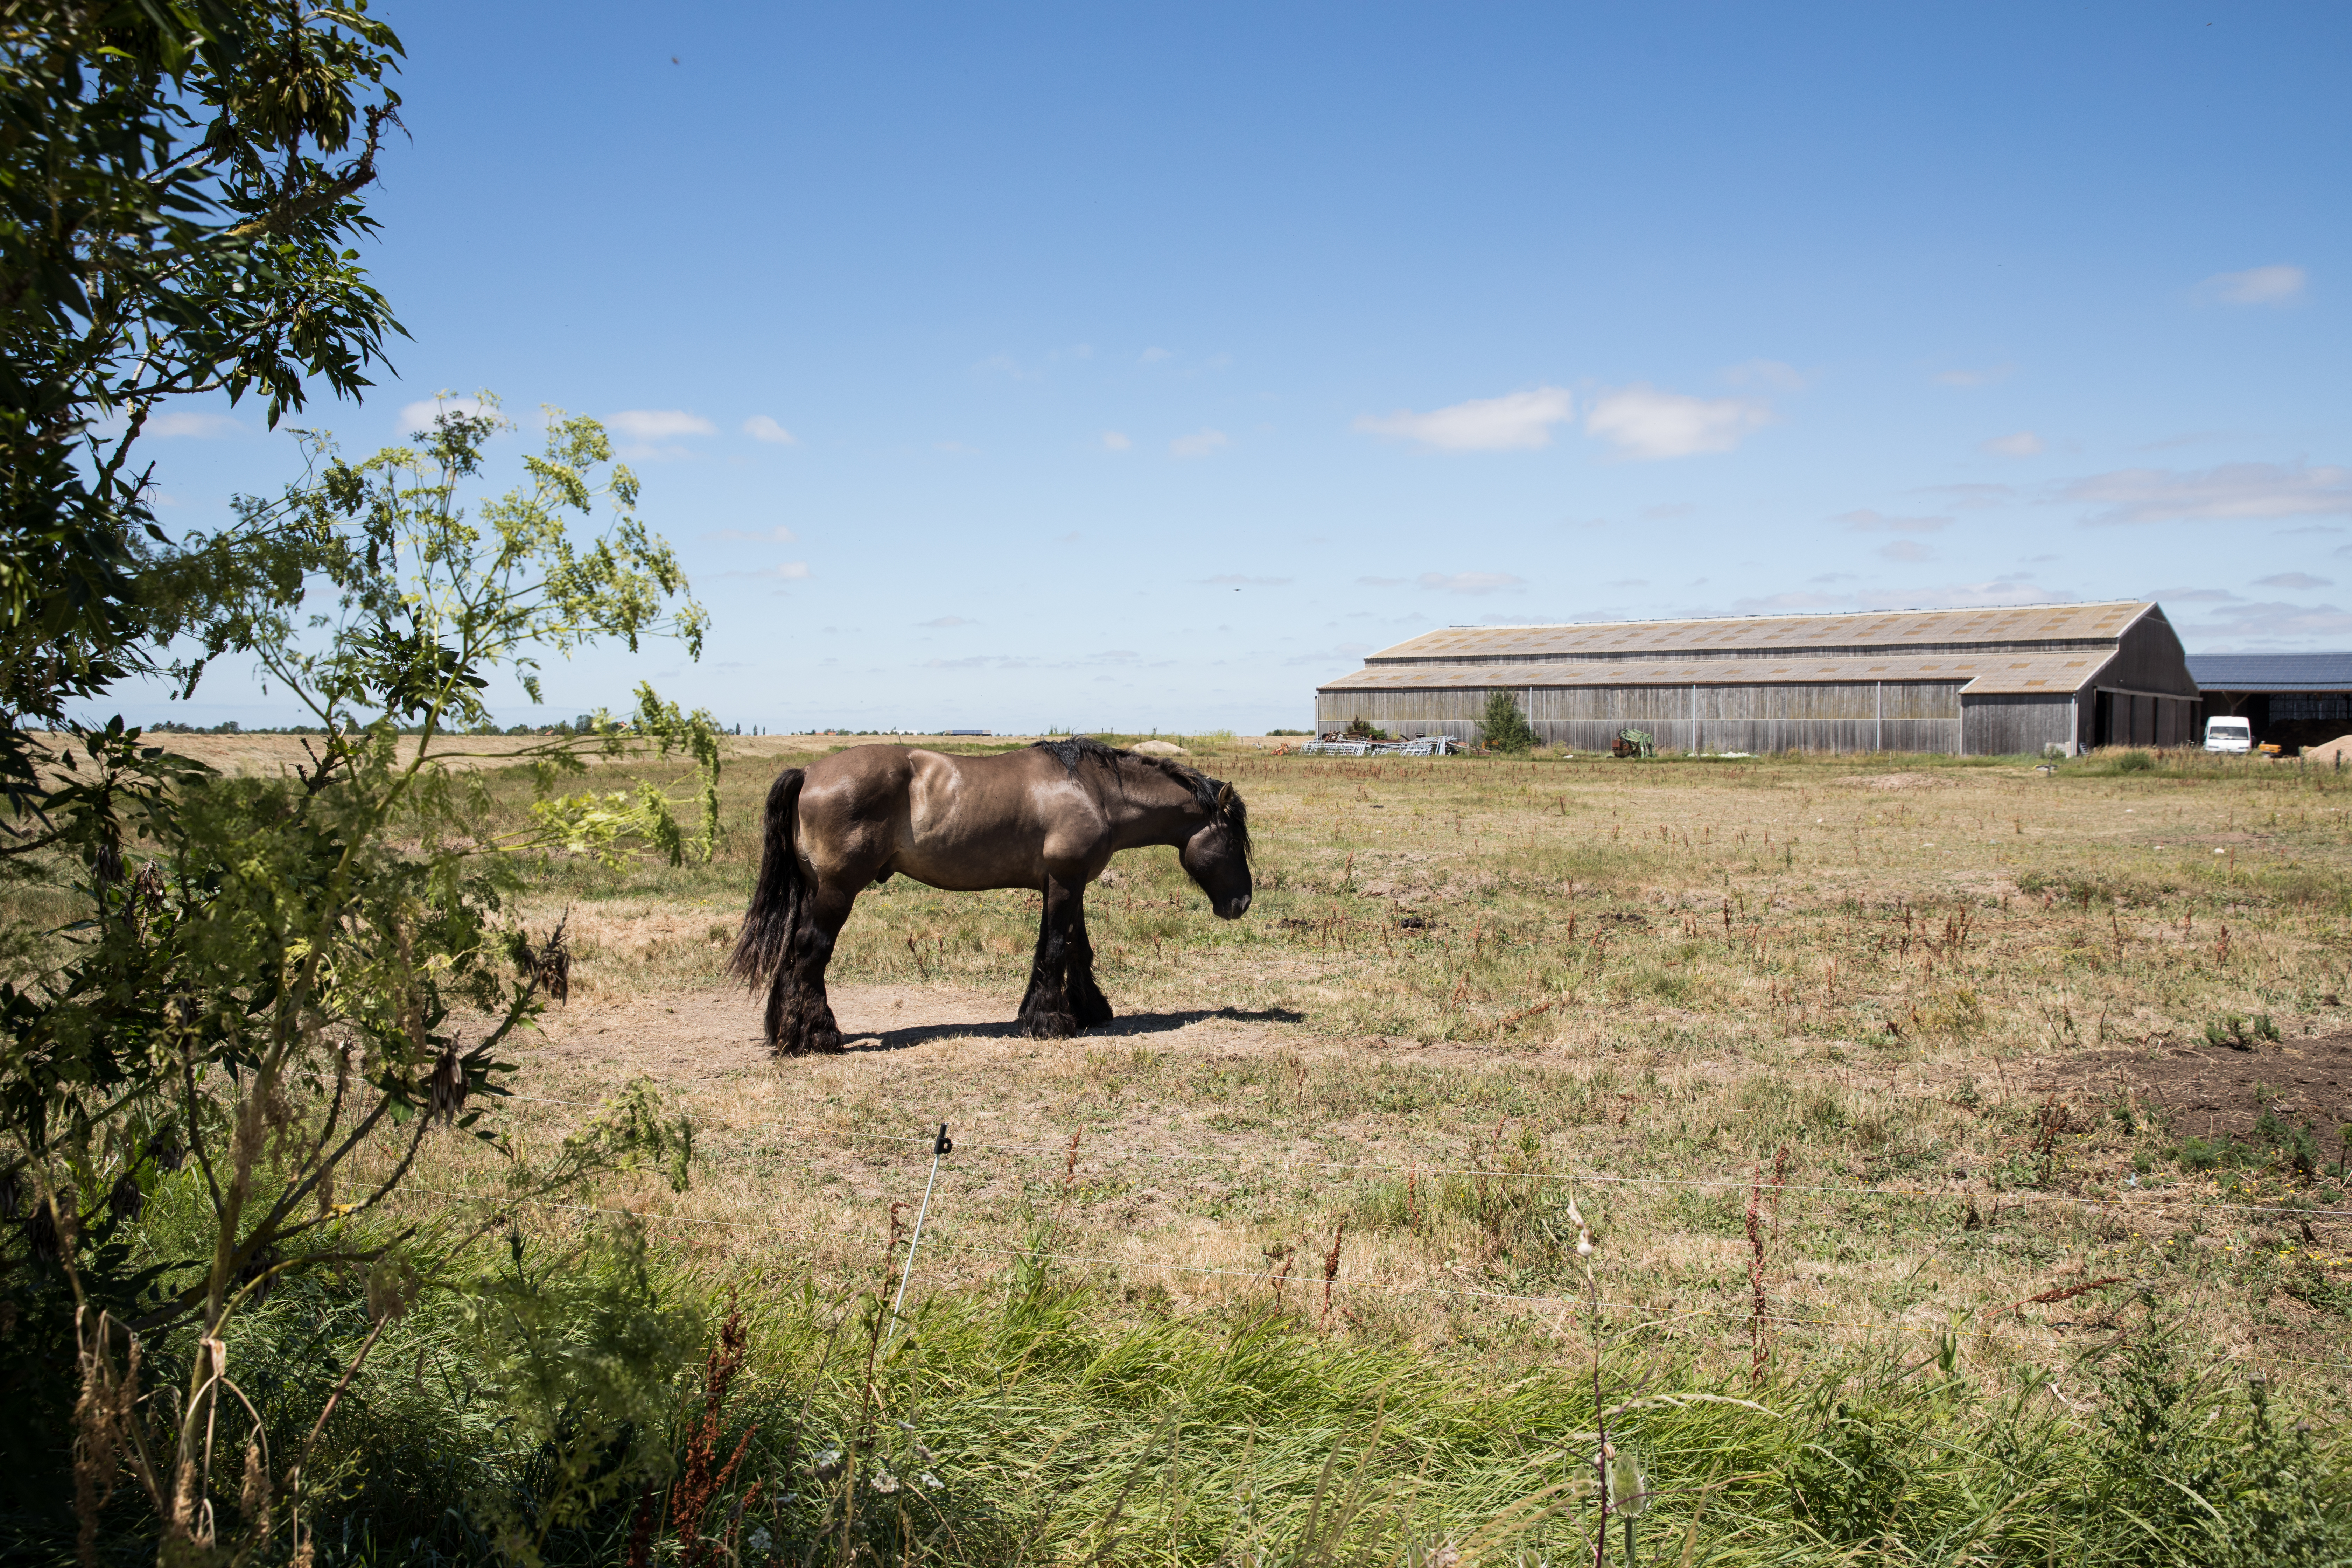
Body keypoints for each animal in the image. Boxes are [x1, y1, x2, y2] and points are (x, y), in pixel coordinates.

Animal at [729, 738, 1251, 1053]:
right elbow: (1056, 947)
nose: (1241, 903)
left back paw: (784, 1029)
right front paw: (1048, 1022)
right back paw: (816, 1036)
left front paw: (1089, 1011)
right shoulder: (1063, 882)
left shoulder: (1072, 883)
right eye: (1232, 840)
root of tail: (808, 772)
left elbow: (1077, 949)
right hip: (837, 892)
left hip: (812, 891)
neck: (1093, 792)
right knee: (810, 952)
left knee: (791, 953)